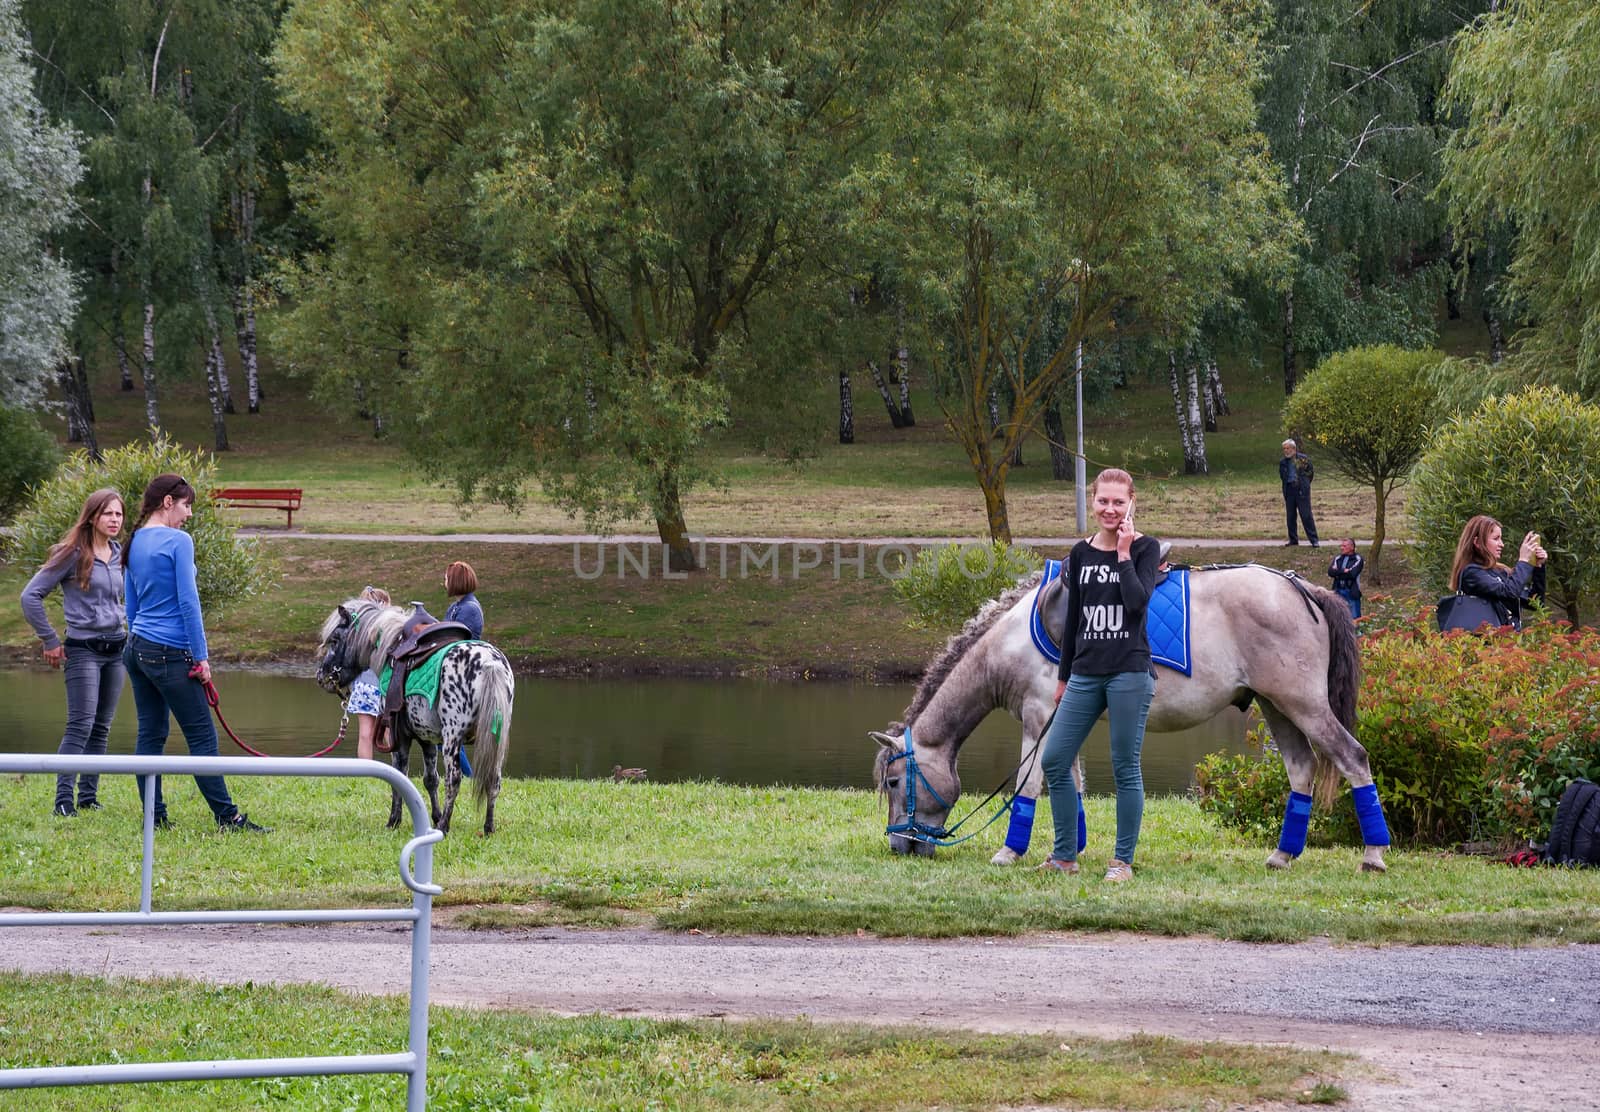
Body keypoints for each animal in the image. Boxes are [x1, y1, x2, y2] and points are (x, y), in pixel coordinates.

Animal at [312, 601, 512, 832]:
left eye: (335, 639)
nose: (322, 676)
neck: (391, 648)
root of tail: (489, 663)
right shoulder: (427, 739)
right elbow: (430, 780)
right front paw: (434, 815)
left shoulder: (400, 737)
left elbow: (399, 775)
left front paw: (394, 820)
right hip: (494, 741)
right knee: (494, 780)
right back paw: (487, 827)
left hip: (453, 739)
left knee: (454, 779)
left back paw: (444, 826)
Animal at [870, 569, 1395, 876]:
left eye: (895, 781)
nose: (899, 844)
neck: (1015, 638)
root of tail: (1303, 588)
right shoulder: (1064, 719)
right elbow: (1071, 782)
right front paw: (1068, 851)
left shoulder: (1038, 718)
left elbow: (1029, 784)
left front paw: (1009, 852)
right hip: (1276, 707)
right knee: (1301, 771)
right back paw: (1283, 855)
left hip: (1304, 706)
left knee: (1353, 759)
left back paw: (1373, 856)